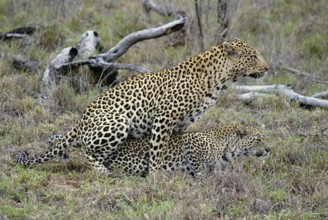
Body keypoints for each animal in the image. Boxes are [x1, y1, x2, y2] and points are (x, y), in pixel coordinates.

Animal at [14, 38, 268, 173]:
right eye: (254, 56)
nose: (267, 68)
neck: (219, 80)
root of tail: (81, 121)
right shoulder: (164, 118)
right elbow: (157, 150)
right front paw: (155, 175)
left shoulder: (181, 124)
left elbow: (171, 147)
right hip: (119, 123)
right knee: (86, 151)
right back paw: (103, 171)